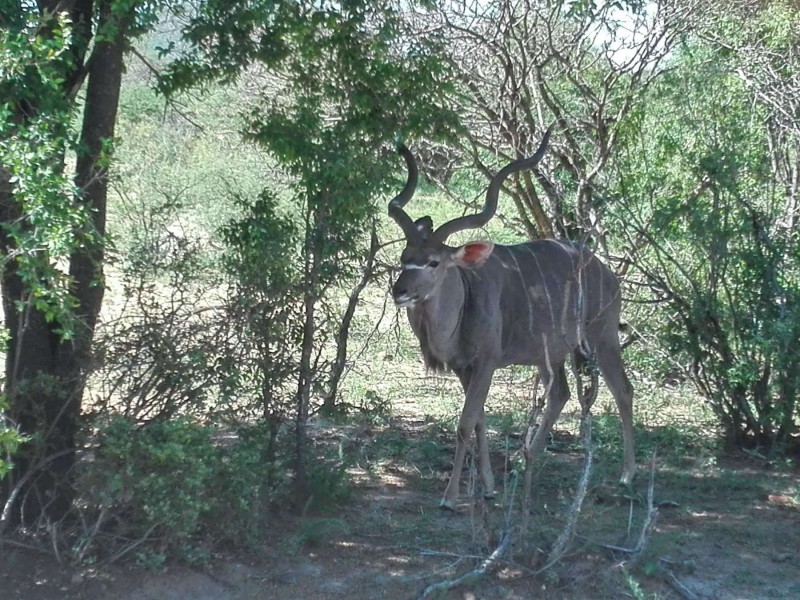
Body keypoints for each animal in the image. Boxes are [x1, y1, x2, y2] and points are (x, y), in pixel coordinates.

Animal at [388, 131, 636, 510]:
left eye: (433, 262)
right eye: (405, 257)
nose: (399, 290)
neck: (465, 294)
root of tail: (606, 271)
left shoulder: (486, 363)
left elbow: (465, 423)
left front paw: (450, 497)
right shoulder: (464, 368)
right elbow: (478, 421)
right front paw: (489, 486)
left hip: (602, 338)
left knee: (623, 390)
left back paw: (625, 476)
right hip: (551, 356)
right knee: (560, 393)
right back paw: (526, 461)